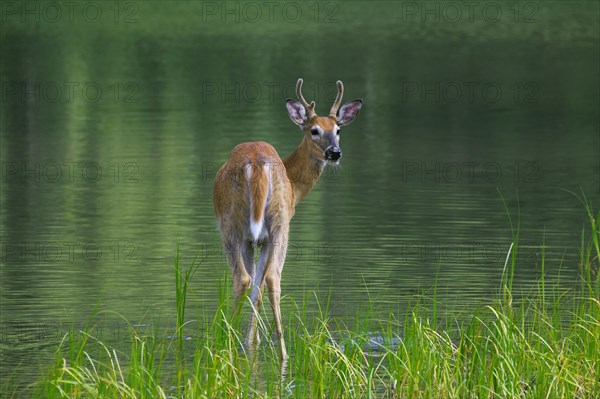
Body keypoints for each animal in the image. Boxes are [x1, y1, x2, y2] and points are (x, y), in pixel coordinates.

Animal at [212, 78, 360, 360]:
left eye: (338, 130)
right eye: (314, 130)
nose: (334, 152)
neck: (294, 185)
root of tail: (257, 163)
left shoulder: (255, 239)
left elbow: (255, 289)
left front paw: (251, 341)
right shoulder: (260, 238)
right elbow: (257, 288)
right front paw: (252, 341)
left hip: (240, 225)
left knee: (250, 279)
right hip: (276, 224)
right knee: (267, 279)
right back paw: (278, 351)